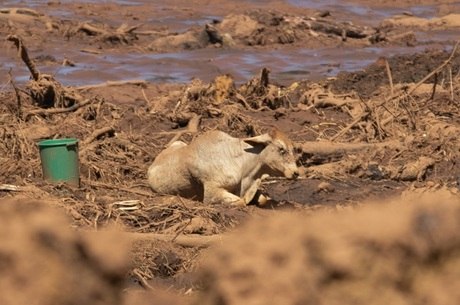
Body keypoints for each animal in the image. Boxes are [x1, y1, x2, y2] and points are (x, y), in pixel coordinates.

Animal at [146, 127, 300, 205]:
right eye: (281, 149)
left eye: (293, 149)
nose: (296, 173)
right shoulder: (211, 193)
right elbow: (241, 201)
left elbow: (262, 199)